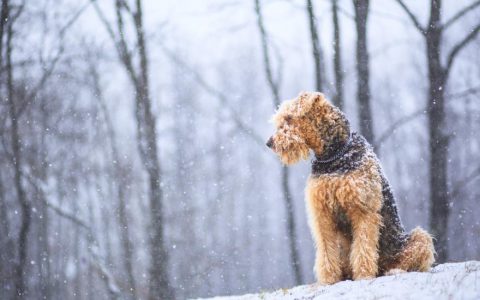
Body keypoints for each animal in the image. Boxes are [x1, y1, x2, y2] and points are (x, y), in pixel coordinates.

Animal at [266, 92, 436, 284]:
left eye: (289, 117)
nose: (269, 142)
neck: (334, 155)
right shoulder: (322, 212)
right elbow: (326, 249)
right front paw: (328, 279)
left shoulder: (362, 208)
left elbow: (363, 245)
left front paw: (363, 274)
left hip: (419, 238)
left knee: (409, 263)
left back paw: (393, 271)